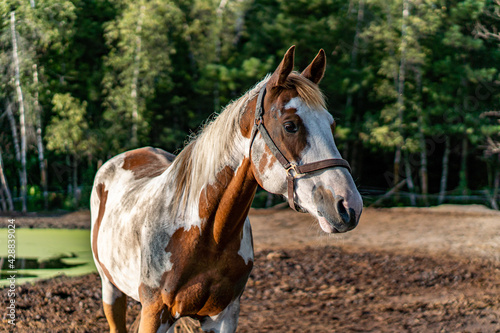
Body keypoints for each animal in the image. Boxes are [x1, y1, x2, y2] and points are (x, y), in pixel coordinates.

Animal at [91, 46, 364, 332]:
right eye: (290, 125)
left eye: (331, 125)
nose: (349, 206)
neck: (203, 233)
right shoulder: (154, 313)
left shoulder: (224, 315)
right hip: (111, 289)